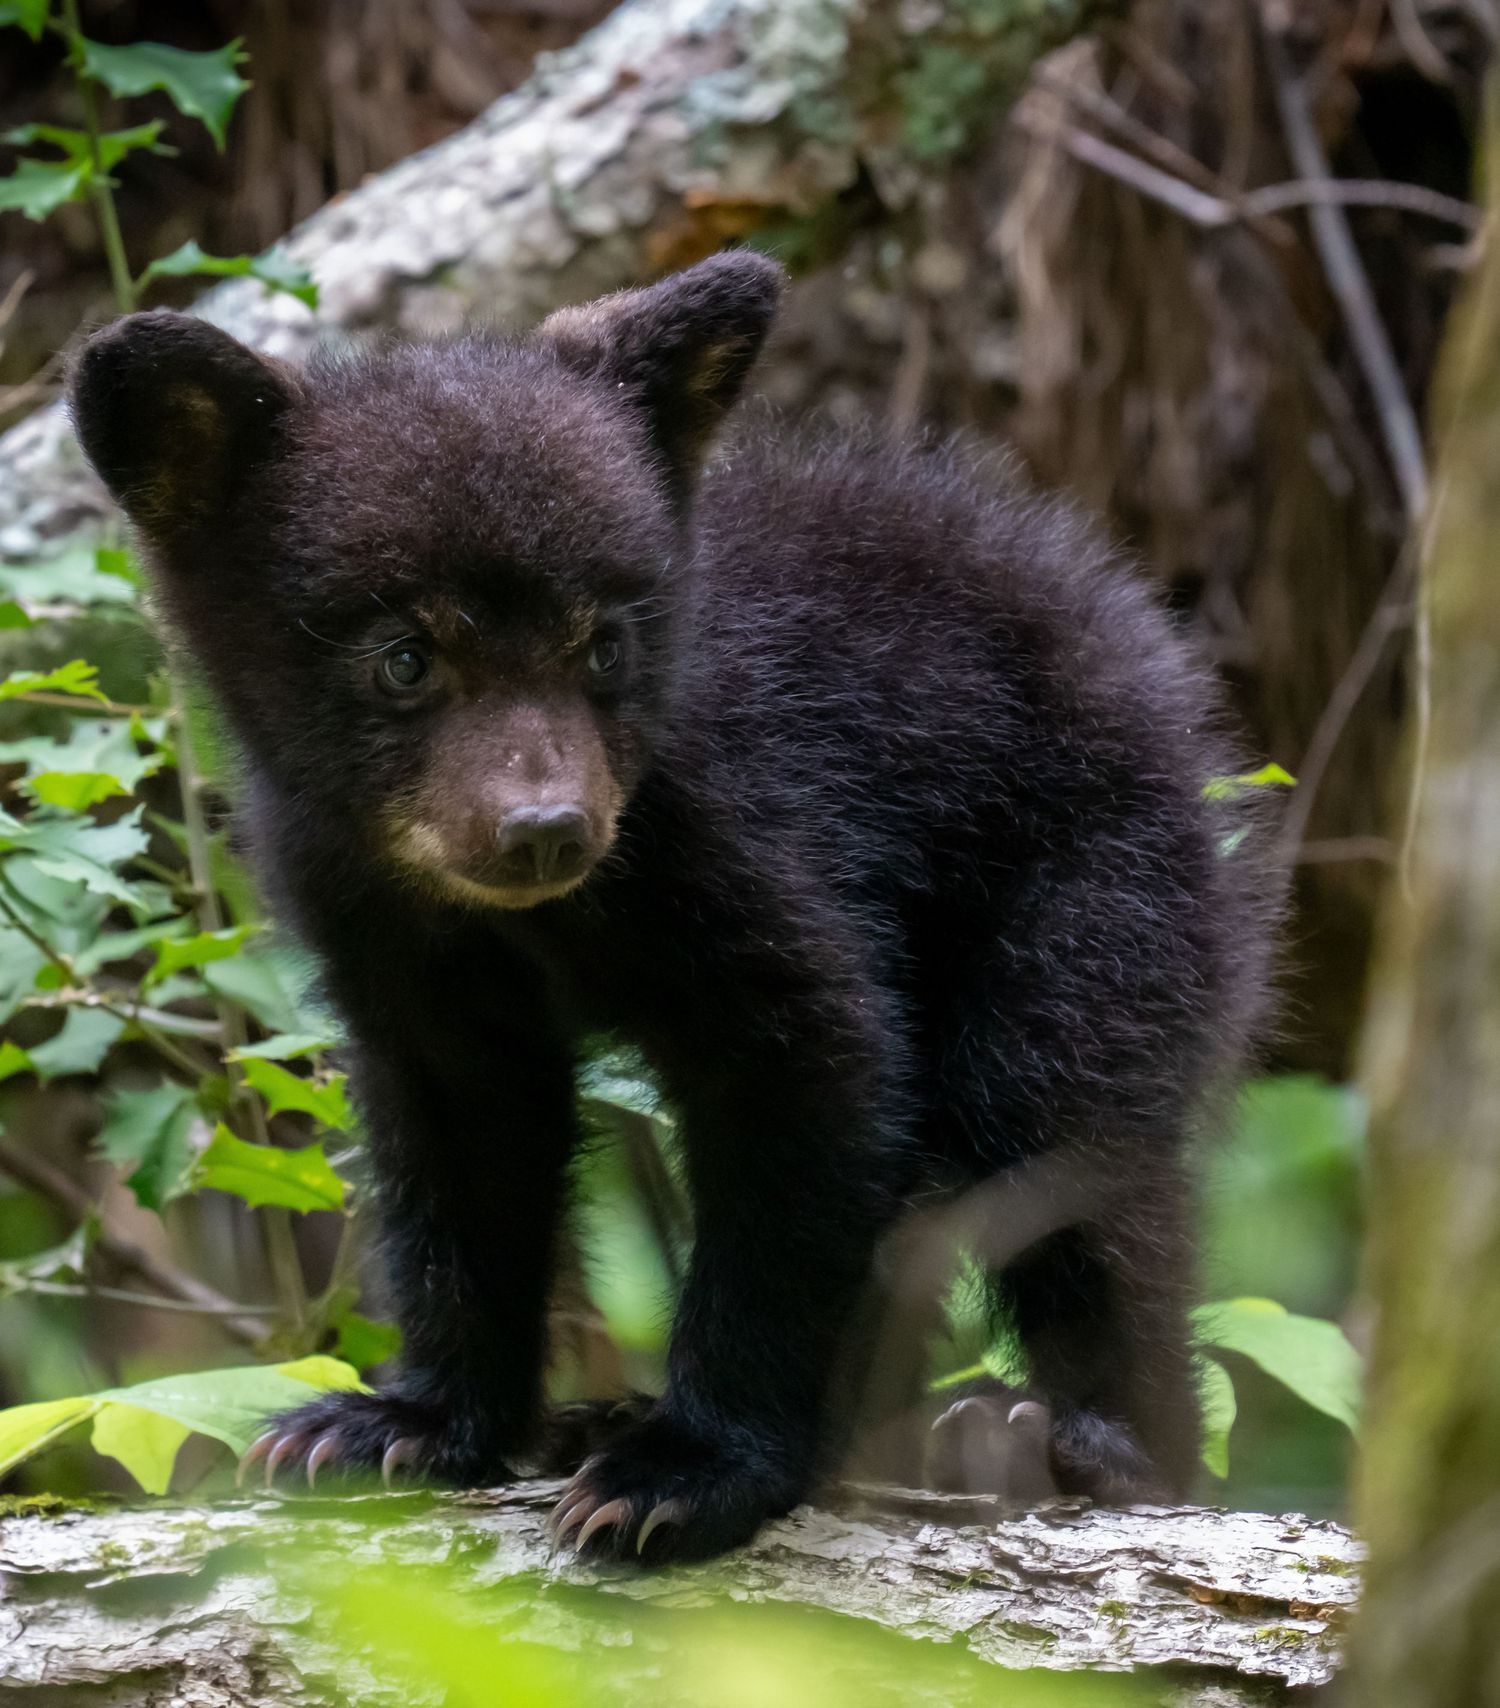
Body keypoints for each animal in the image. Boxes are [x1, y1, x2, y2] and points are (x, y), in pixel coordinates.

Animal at [69, 250, 1276, 1564]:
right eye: (406, 656)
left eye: (602, 643)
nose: (544, 827)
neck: (542, 913)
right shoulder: (378, 922)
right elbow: (464, 1142)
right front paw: (401, 1423)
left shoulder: (740, 836)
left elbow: (812, 1091)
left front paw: (685, 1472)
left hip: (1093, 891)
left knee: (1072, 1145)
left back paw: (1072, 1441)